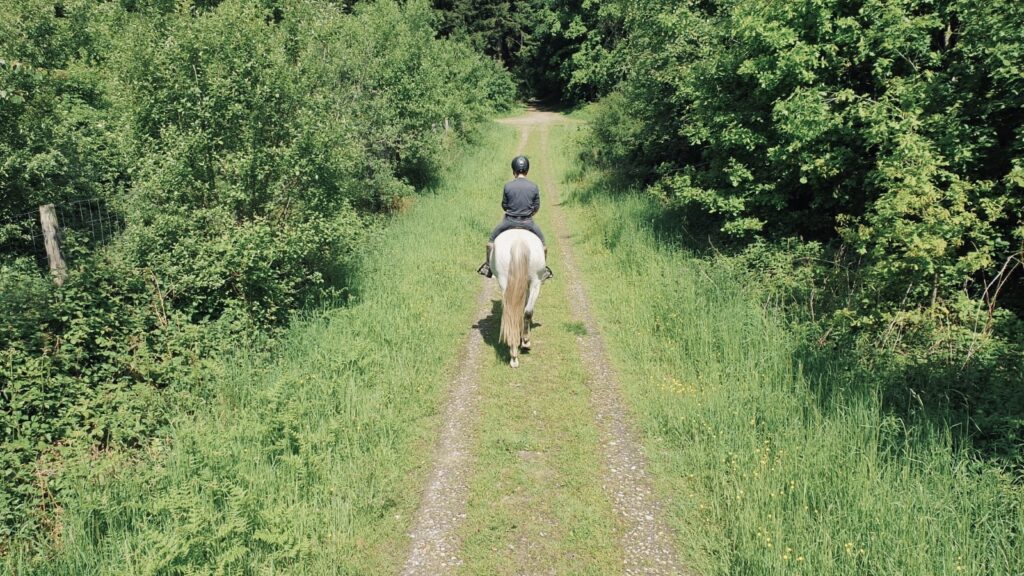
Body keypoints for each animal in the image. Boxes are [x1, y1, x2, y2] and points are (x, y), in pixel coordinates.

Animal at [491, 226, 548, 364]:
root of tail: (518, 242)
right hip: (536, 282)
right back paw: (523, 344)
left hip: (506, 281)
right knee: (525, 311)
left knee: (514, 312)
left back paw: (514, 353)